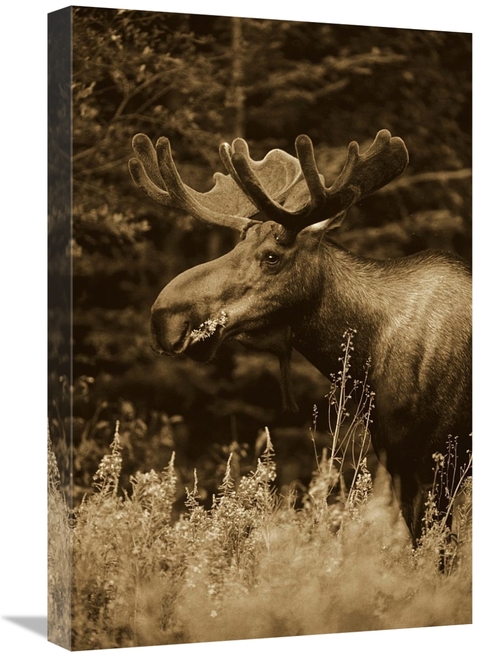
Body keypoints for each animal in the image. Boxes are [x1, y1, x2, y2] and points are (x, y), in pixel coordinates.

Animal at [129, 129, 472, 544]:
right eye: (236, 246)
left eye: (272, 256)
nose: (164, 317)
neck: (369, 360)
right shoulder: (399, 462)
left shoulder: (441, 461)